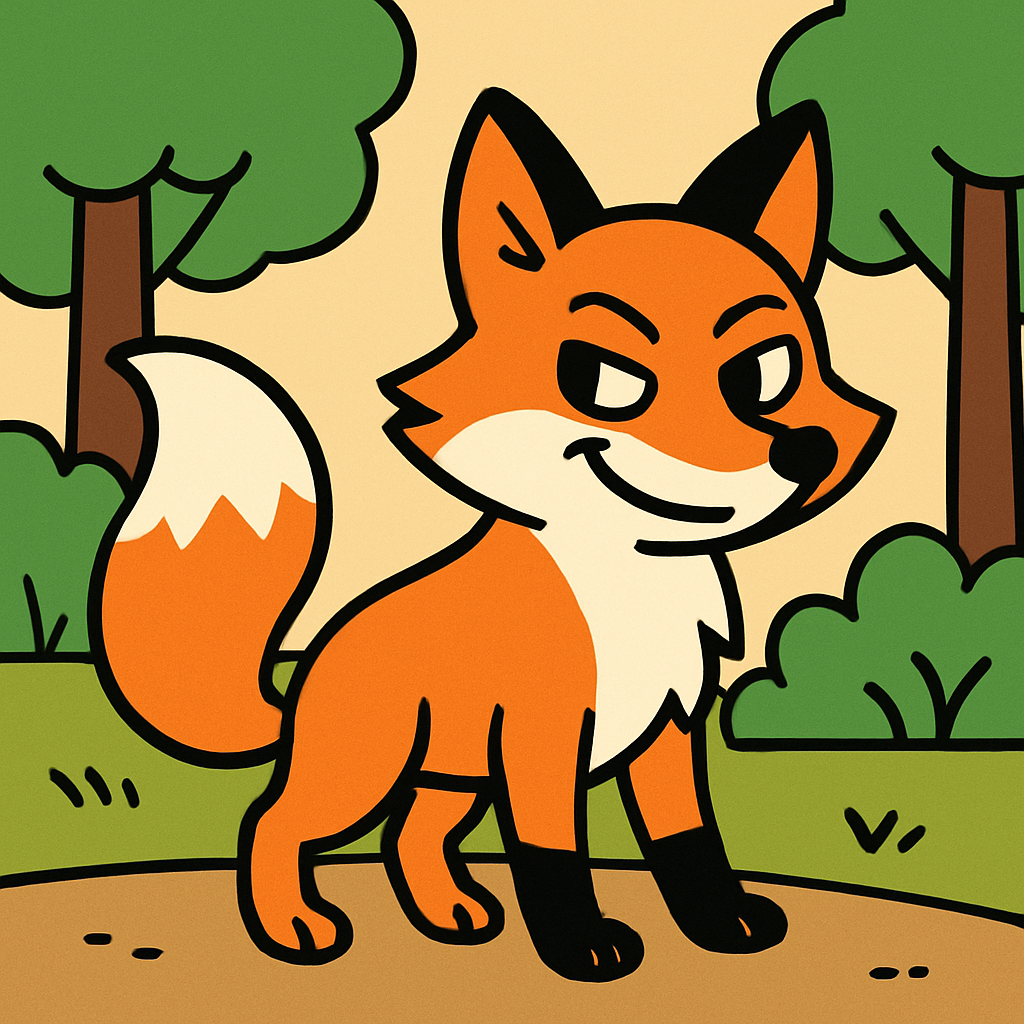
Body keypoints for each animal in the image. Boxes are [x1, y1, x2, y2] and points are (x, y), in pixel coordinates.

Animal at [93, 88, 893, 982]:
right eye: (605, 379)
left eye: (768, 372)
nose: (803, 451)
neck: (628, 582)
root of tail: (308, 669)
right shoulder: (542, 738)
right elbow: (551, 850)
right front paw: (582, 946)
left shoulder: (668, 729)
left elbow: (689, 839)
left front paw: (723, 923)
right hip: (366, 767)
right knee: (276, 819)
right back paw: (296, 927)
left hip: (451, 774)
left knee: (412, 833)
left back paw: (451, 914)